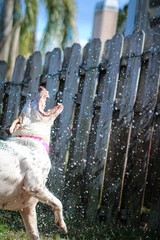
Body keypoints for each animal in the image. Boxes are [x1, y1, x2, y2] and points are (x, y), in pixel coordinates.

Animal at [0, 86, 66, 240]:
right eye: (30, 101)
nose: (41, 87)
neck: (32, 139)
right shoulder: (34, 186)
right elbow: (58, 202)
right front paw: (61, 224)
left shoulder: (28, 207)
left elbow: (34, 234)